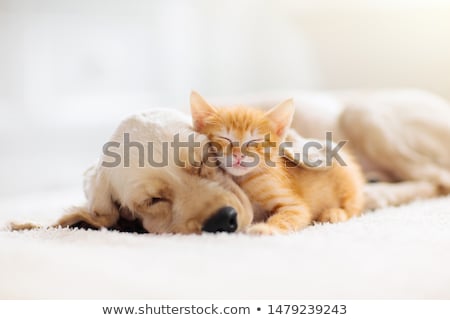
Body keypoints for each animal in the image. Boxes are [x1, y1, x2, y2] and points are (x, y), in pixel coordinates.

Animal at [190, 91, 366, 234]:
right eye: (224, 138)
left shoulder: (295, 206)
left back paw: (335, 213)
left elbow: (288, 216)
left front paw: (266, 228)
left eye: (254, 141)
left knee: (354, 207)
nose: (238, 154)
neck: (243, 180)